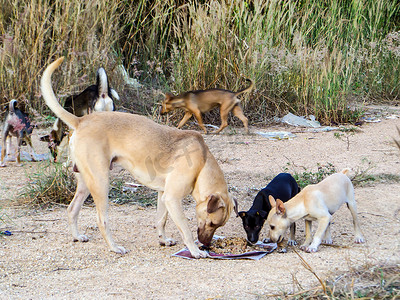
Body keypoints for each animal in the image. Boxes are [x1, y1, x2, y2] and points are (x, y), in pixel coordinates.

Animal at [40, 57, 236, 258]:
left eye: (218, 225)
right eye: (211, 222)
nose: (206, 245)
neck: (202, 162)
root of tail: (81, 121)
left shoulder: (163, 195)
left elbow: (161, 220)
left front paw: (163, 239)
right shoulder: (172, 198)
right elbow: (186, 230)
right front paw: (195, 250)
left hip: (85, 183)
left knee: (72, 209)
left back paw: (77, 236)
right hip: (101, 183)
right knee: (102, 220)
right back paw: (114, 247)